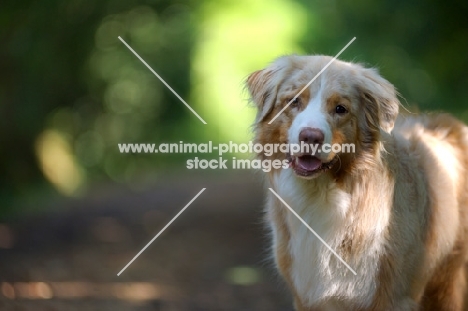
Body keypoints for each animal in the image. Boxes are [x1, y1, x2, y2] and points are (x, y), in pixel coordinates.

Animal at [247, 54, 466, 310]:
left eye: (340, 109)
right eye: (294, 101)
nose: (310, 136)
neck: (322, 195)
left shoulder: (394, 296)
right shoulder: (307, 295)